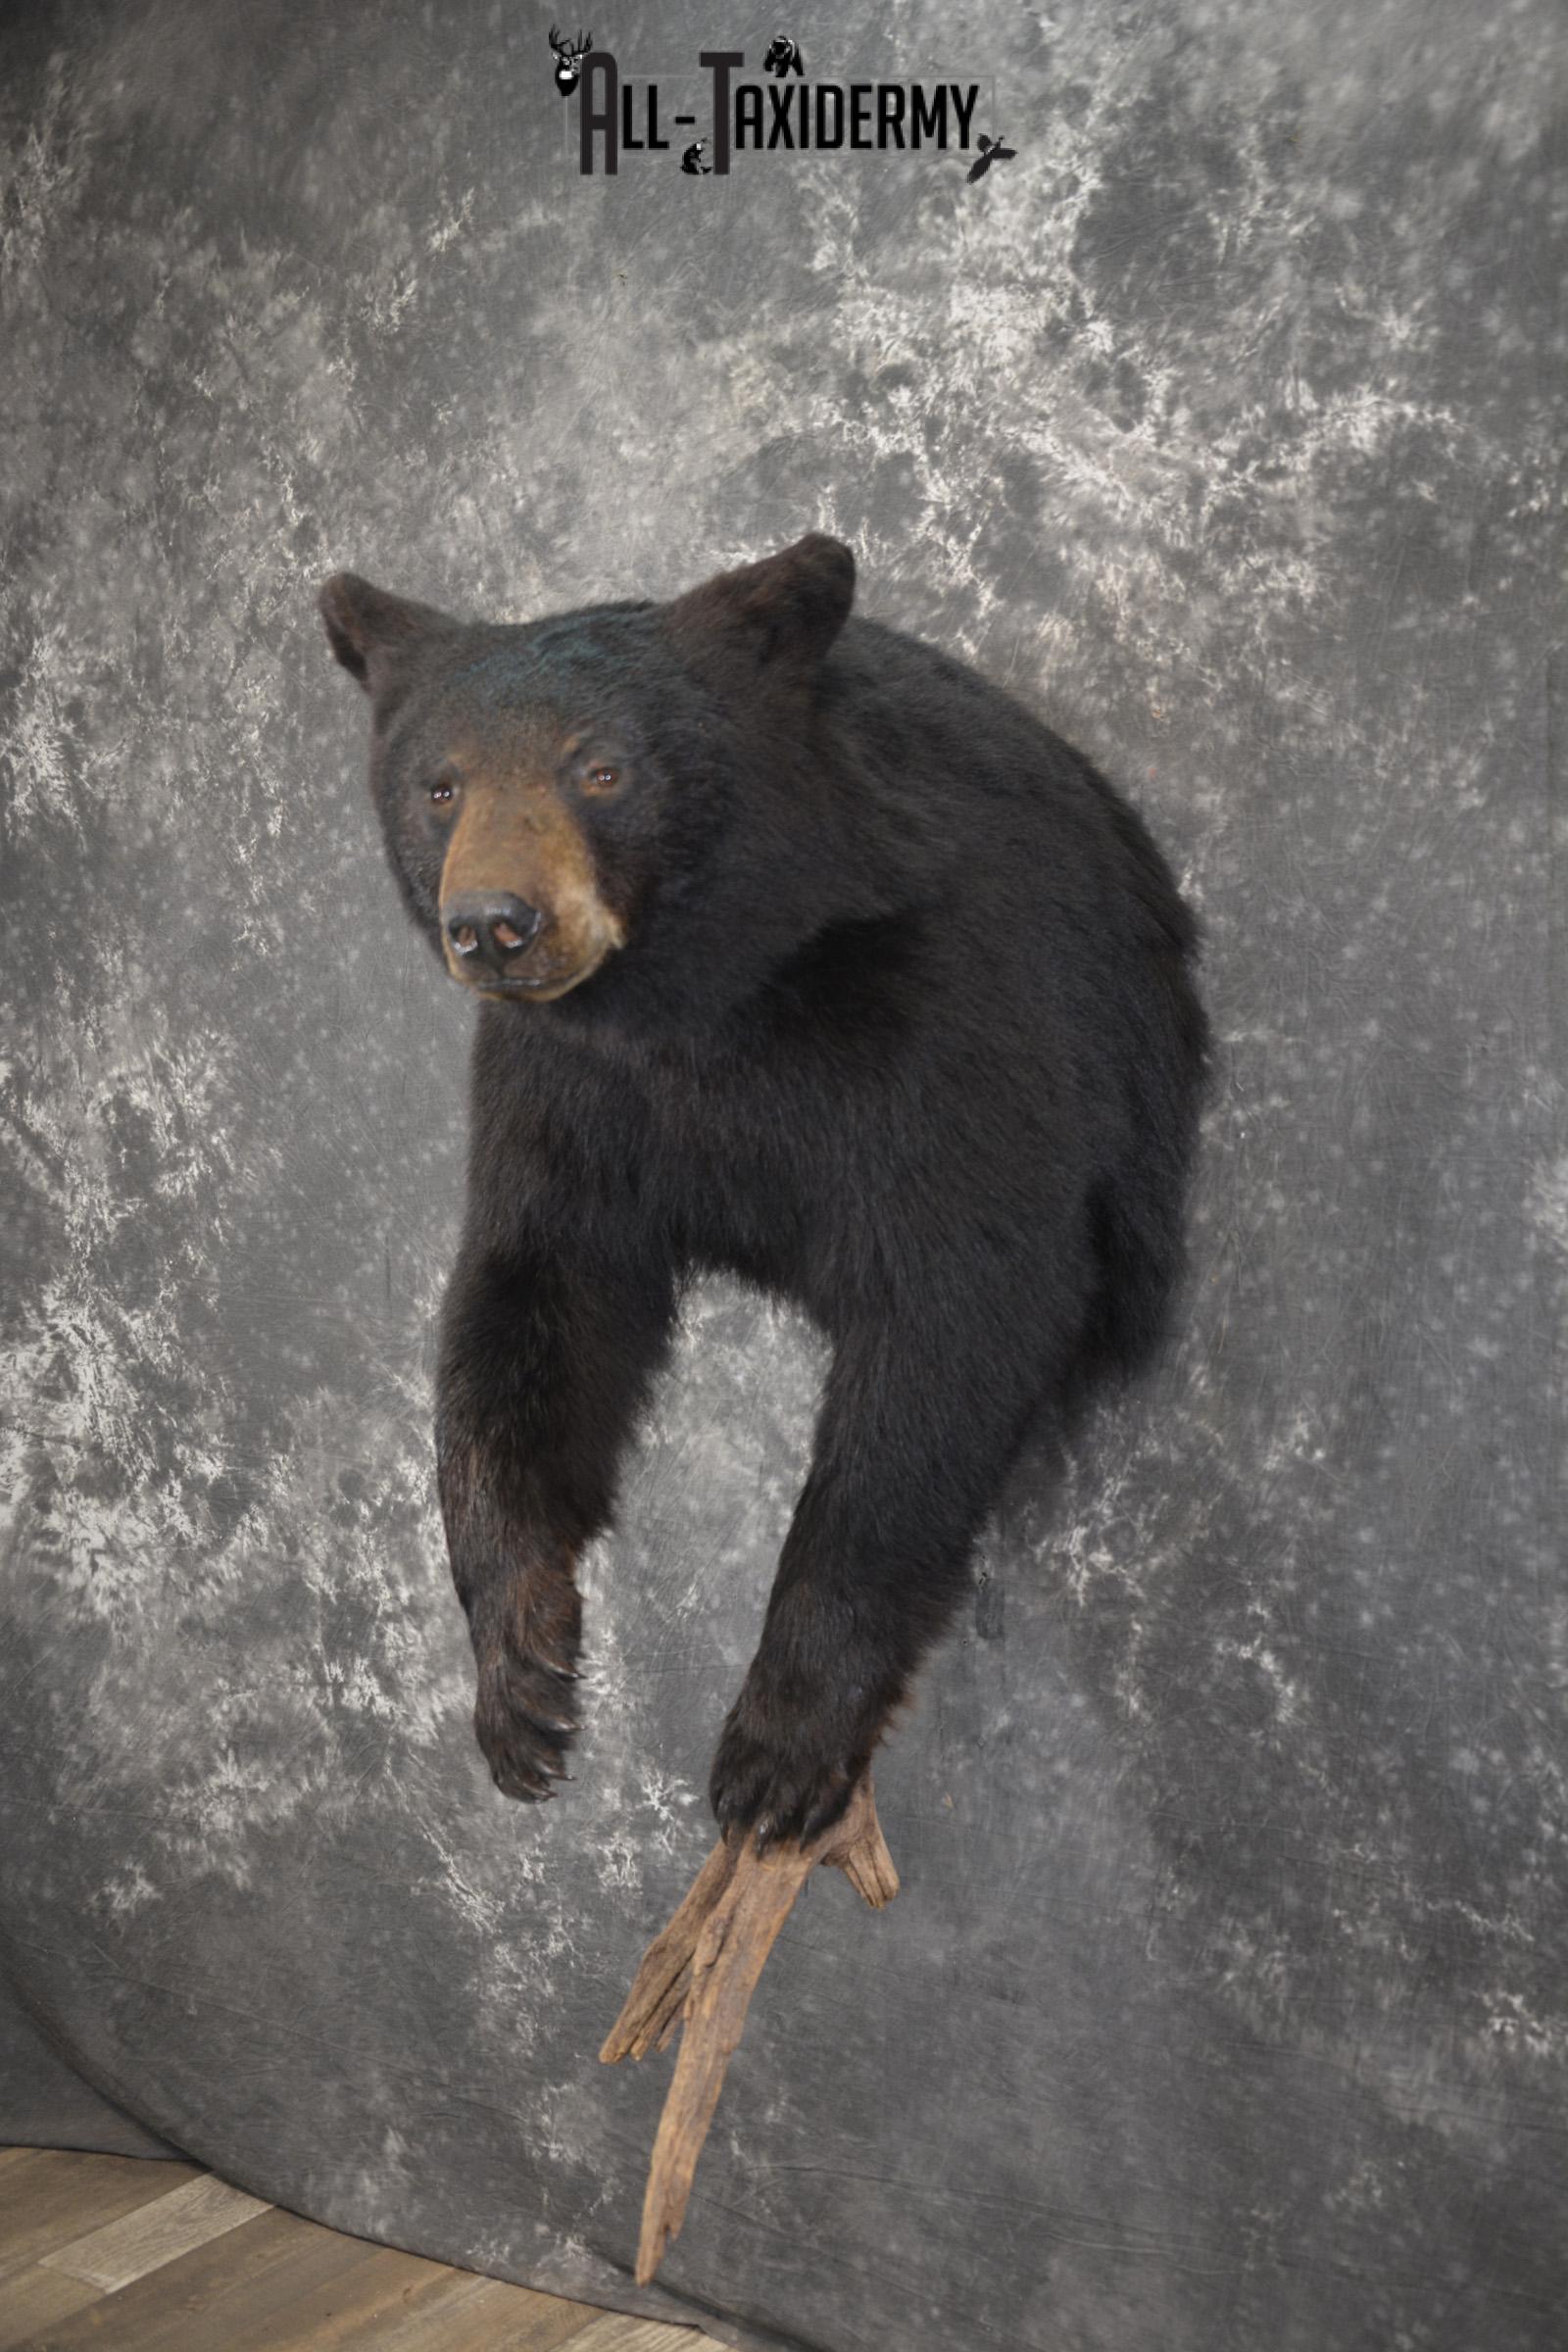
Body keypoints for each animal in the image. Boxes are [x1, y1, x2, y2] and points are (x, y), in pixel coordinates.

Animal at [318, 534, 1211, 1849]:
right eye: (440, 786)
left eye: (601, 767)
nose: (493, 925)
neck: (716, 1004)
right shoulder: (570, 1089)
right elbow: (534, 1297)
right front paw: (522, 1673)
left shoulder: (956, 1025)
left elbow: (959, 1310)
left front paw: (782, 1740)